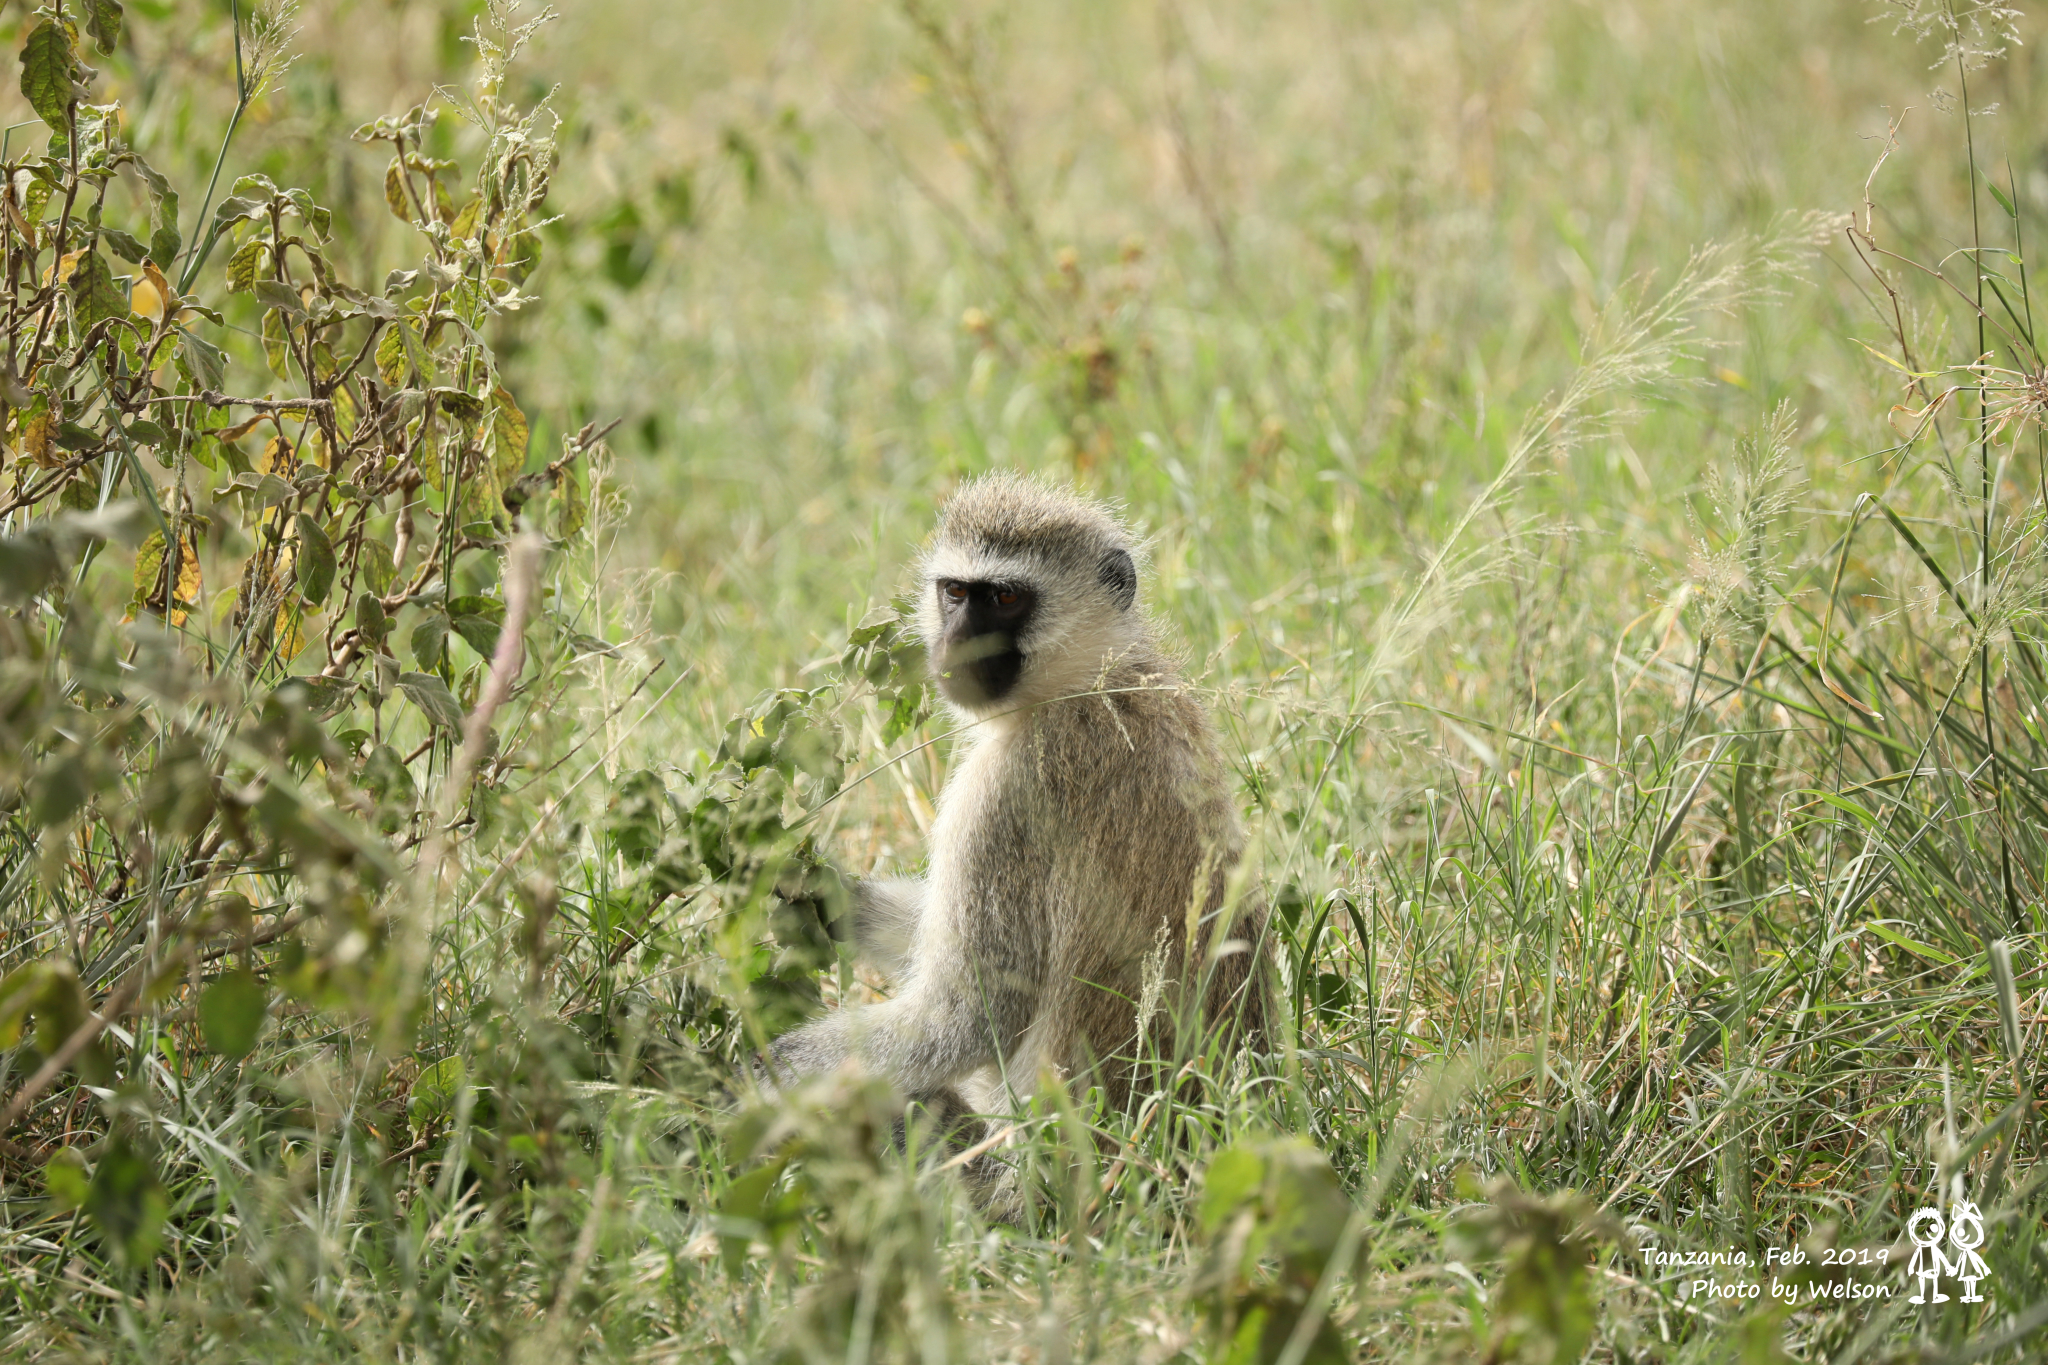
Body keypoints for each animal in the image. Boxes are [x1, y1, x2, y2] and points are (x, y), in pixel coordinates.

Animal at [770, 474, 1261, 1137]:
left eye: (1005, 598)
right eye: (955, 592)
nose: (955, 643)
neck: (1090, 680)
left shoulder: (1003, 797)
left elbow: (967, 1018)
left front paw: (734, 1073)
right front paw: (814, 888)